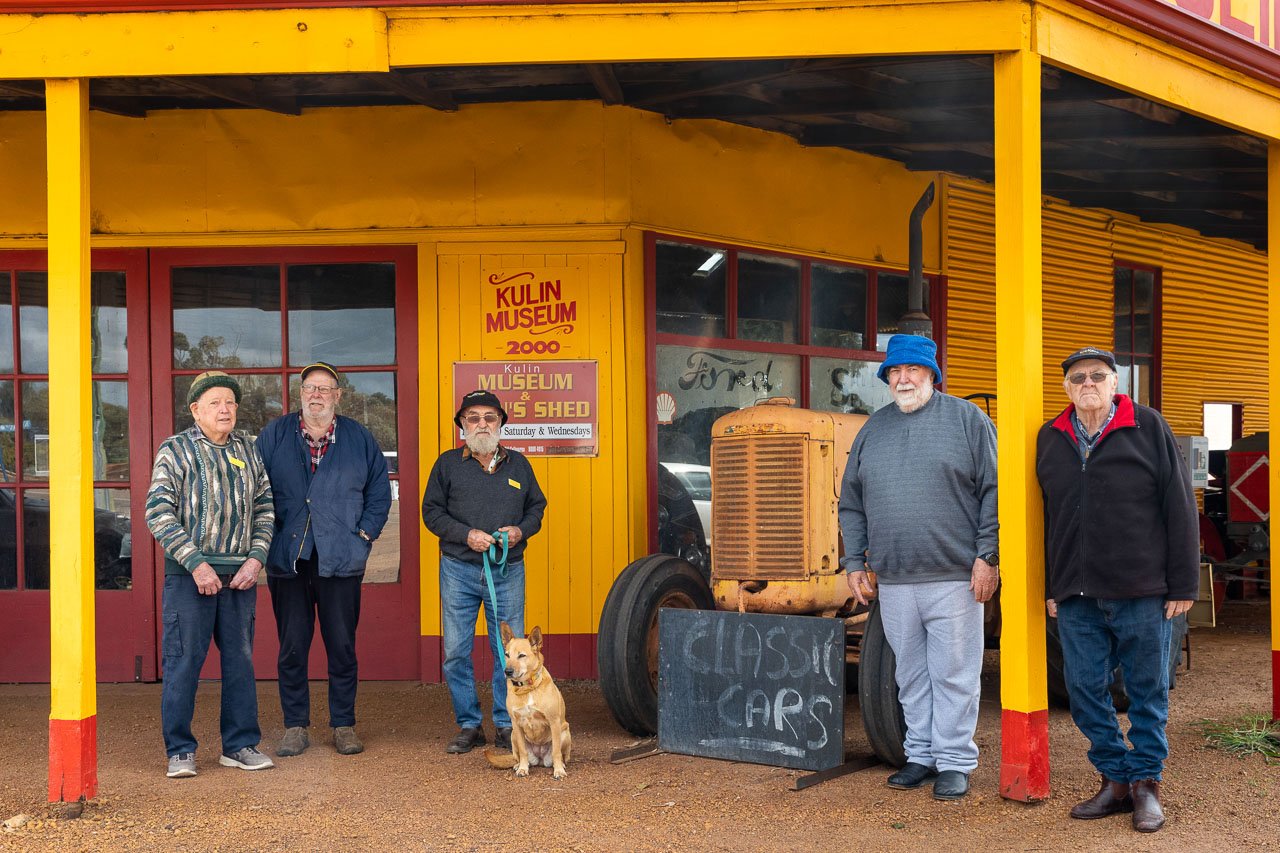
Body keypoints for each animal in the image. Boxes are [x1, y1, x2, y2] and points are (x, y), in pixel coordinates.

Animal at [483, 617, 576, 778]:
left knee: (561, 755)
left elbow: (556, 751)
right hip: (513, 735)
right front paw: (522, 768)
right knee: (518, 755)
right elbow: (523, 752)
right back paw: (518, 765)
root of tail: (540, 759)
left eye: (521, 655)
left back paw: (561, 765)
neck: (527, 688)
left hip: (565, 732)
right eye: (506, 655)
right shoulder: (516, 724)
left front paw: (558, 770)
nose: (507, 671)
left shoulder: (554, 722)